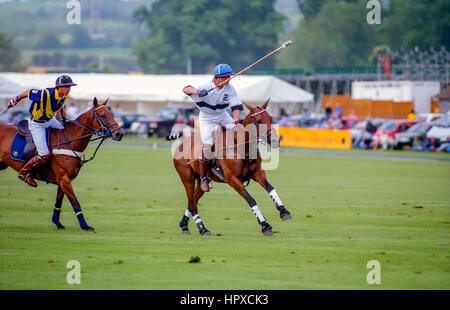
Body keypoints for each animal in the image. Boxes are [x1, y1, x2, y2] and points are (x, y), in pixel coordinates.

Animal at [0, 98, 123, 231]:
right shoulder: (64, 179)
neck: (69, 141)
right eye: (102, 115)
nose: (119, 134)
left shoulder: (63, 180)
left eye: (112, 114)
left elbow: (58, 202)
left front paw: (58, 223)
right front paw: (85, 226)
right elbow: (75, 202)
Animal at [172, 99, 292, 235]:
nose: (276, 140)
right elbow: (251, 199)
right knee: (192, 204)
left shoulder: (257, 173)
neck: (241, 147)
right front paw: (265, 225)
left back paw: (184, 225)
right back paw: (203, 229)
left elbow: (271, 189)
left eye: (271, 118)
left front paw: (284, 211)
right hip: (187, 179)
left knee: (192, 202)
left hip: (204, 181)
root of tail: (182, 142)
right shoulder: (233, 179)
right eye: (259, 120)